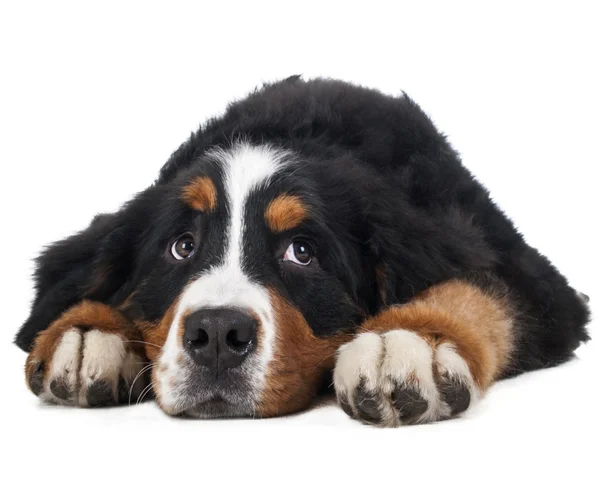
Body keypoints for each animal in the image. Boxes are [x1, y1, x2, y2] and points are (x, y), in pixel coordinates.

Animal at [15, 78, 592, 428]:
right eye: (182, 247)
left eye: (302, 252)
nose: (218, 334)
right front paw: (86, 331)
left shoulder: (531, 280)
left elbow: (479, 291)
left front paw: (407, 339)